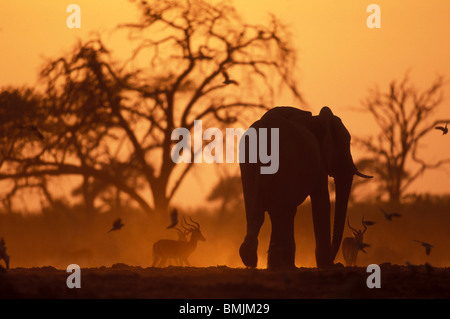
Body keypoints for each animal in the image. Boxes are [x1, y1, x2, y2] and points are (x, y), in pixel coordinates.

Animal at [237, 107, 370, 270]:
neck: (317, 119)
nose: (335, 261)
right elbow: (322, 200)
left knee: (263, 211)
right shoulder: (319, 160)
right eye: (346, 142)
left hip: (249, 166)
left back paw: (252, 259)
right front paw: (327, 265)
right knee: (284, 211)